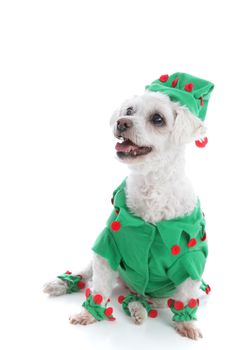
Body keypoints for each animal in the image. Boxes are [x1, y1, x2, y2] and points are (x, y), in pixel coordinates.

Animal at [44, 73, 214, 340]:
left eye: (158, 119)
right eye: (129, 110)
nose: (122, 122)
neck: (151, 187)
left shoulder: (191, 260)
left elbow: (186, 298)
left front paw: (187, 325)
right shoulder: (107, 246)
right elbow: (99, 288)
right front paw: (88, 314)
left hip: (164, 294)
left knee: (147, 299)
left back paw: (138, 308)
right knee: (86, 273)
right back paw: (62, 284)